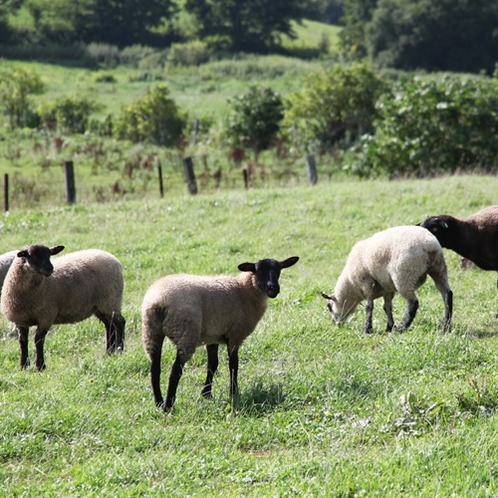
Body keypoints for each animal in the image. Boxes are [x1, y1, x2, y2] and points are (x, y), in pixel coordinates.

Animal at [142, 255, 302, 410]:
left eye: (279, 270)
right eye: (258, 270)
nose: (273, 288)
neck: (244, 291)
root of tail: (159, 301)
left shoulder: (213, 336)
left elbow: (212, 365)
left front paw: (206, 394)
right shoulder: (235, 335)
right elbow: (233, 364)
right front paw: (234, 392)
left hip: (151, 332)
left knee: (154, 369)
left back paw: (158, 402)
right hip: (186, 333)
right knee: (175, 371)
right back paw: (168, 405)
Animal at [320, 228, 454, 332]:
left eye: (329, 306)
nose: (335, 324)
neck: (351, 285)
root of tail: (429, 245)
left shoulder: (366, 283)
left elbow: (369, 306)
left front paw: (367, 328)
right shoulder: (387, 288)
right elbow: (387, 307)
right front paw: (389, 327)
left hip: (405, 275)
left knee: (413, 303)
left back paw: (402, 327)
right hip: (438, 268)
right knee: (447, 295)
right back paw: (445, 326)